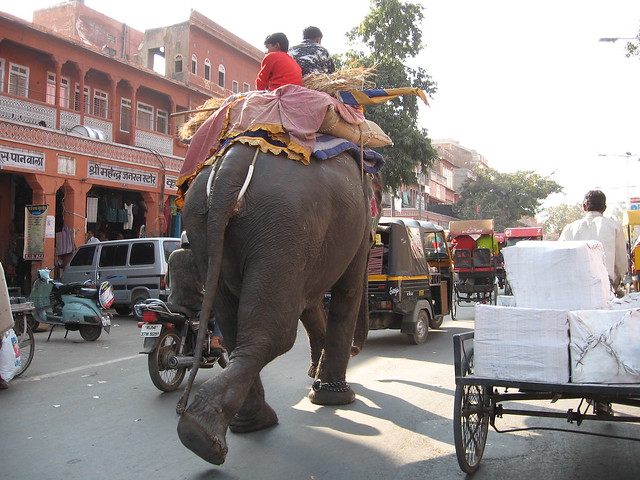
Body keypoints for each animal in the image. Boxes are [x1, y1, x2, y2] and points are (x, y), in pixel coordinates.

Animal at [176, 142, 380, 464]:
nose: (357, 350)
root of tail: (231, 167)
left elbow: (310, 302)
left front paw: (317, 381)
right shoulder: (356, 228)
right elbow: (347, 289)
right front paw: (336, 397)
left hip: (205, 227)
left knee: (234, 328)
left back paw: (234, 426)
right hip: (285, 226)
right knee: (276, 335)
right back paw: (206, 434)